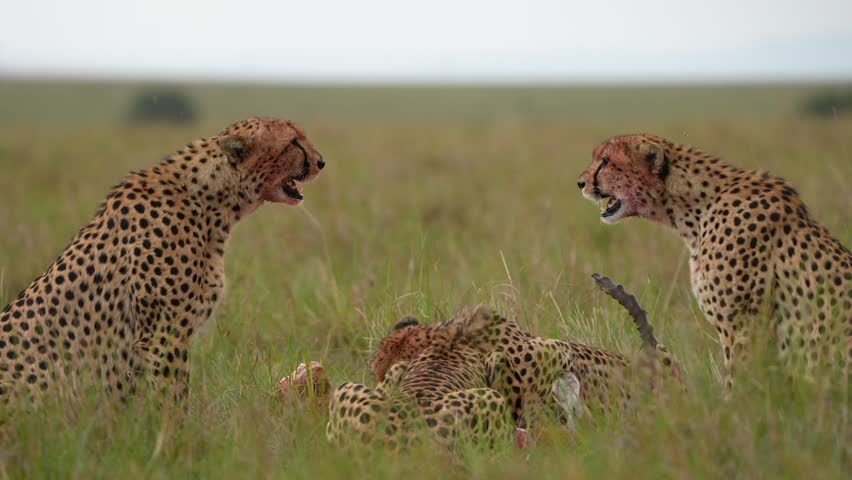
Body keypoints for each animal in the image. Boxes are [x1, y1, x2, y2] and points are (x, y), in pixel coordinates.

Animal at [0, 116, 325, 405]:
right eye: (293, 142)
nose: (321, 162)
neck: (211, 200)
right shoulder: (161, 336)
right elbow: (172, 399)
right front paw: (177, 435)